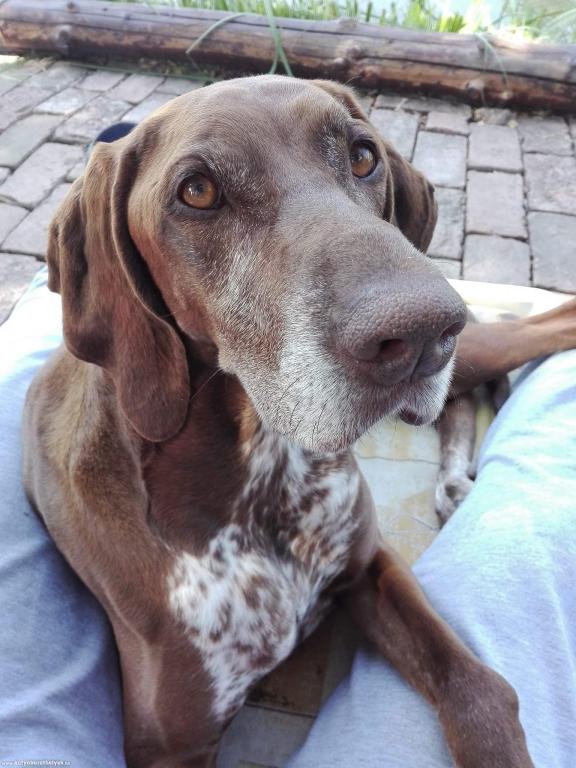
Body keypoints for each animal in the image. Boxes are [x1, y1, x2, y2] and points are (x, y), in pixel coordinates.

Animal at [23, 75, 536, 767]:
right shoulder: (170, 744)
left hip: (476, 349)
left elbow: (481, 687)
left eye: (363, 157)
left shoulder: (369, 567)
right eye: (197, 192)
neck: (262, 474)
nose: (425, 334)